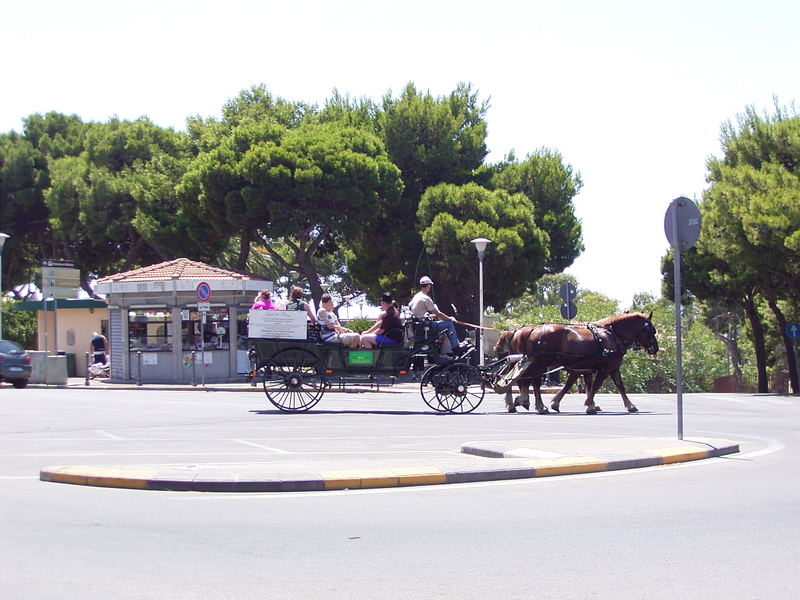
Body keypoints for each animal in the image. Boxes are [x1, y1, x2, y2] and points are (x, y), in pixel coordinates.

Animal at [494, 312, 656, 414]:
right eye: (651, 330)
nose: (655, 348)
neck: (611, 335)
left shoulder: (597, 367)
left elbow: (617, 386)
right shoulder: (604, 367)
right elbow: (595, 385)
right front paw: (589, 405)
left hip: (524, 361)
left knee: (514, 379)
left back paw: (518, 403)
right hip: (539, 362)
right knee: (530, 381)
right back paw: (533, 404)